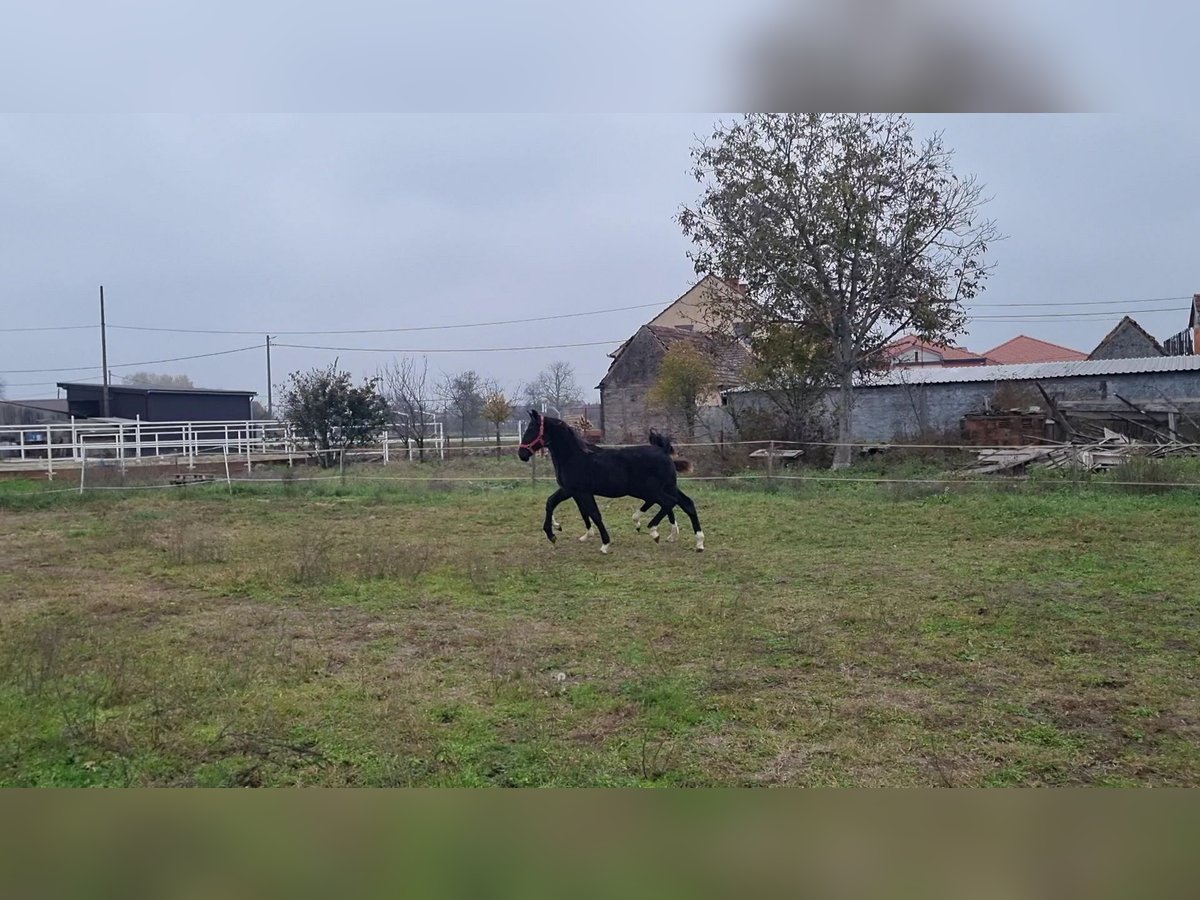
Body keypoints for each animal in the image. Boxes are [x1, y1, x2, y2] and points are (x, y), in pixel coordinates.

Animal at [516, 412, 700, 554]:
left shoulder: (581, 492)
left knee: (669, 502)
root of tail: (662, 450)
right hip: (663, 487)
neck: (574, 457)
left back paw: (654, 531)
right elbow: (555, 504)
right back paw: (697, 542)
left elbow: (594, 514)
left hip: (650, 489)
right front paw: (555, 534)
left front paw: (605, 544)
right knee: (685, 504)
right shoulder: (570, 490)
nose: (522, 454)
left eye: (531, 429)